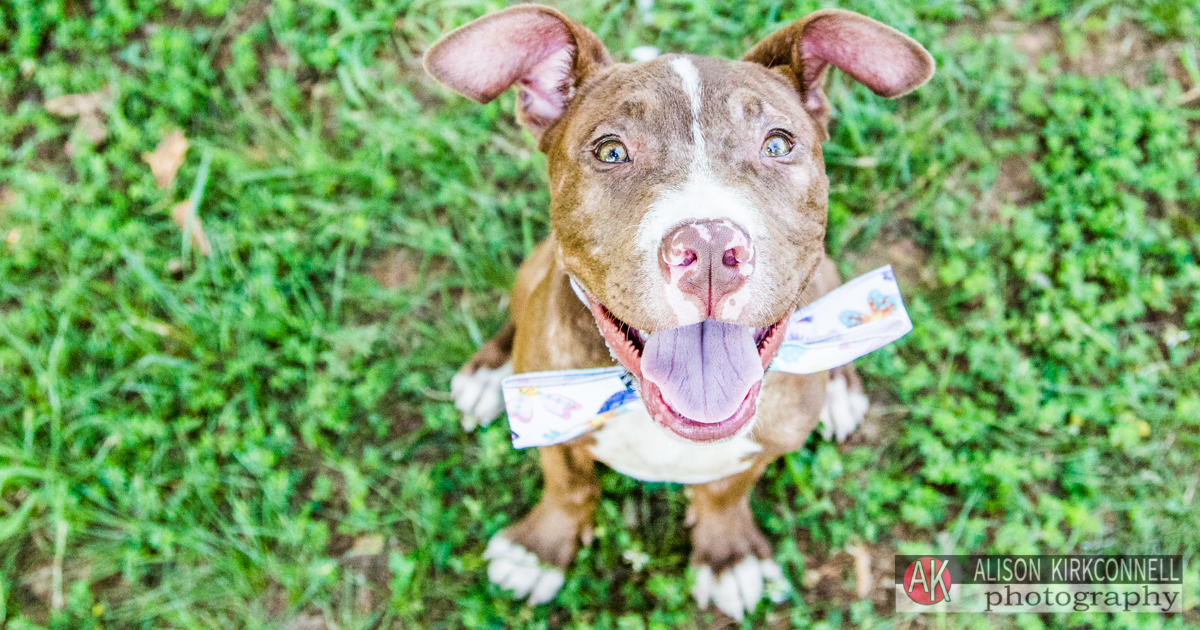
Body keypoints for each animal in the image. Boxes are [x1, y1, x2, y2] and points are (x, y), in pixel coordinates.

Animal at [427, 6, 931, 619]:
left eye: (777, 144)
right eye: (611, 151)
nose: (710, 247)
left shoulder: (764, 446)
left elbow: (725, 490)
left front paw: (728, 554)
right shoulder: (554, 430)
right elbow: (569, 485)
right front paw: (539, 550)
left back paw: (841, 385)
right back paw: (487, 371)